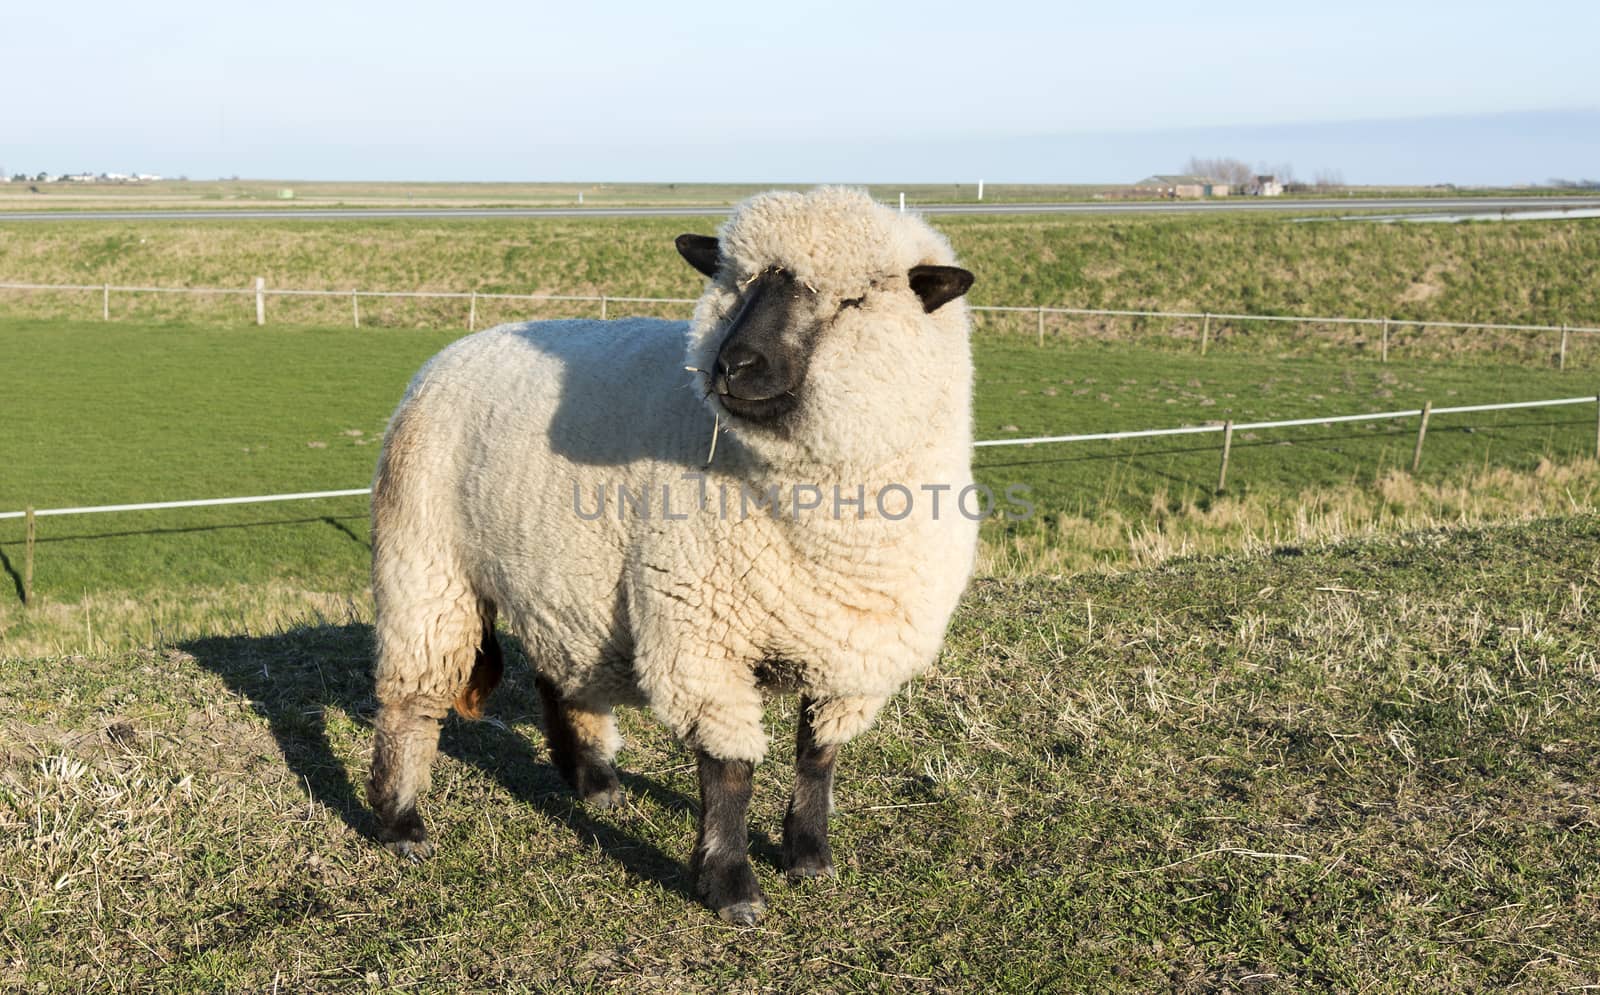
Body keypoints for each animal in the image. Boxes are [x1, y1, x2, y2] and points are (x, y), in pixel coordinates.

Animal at [366, 188, 979, 927]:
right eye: (734, 283)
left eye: (854, 300)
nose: (732, 366)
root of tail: (457, 349)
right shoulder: (702, 635)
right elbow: (730, 770)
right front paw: (732, 885)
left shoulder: (858, 651)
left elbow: (818, 755)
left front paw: (809, 855)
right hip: (426, 559)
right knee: (410, 694)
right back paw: (401, 822)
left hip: (559, 573)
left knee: (556, 672)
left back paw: (594, 782)